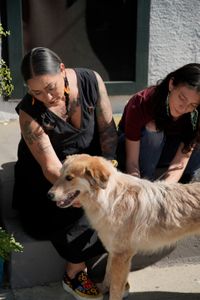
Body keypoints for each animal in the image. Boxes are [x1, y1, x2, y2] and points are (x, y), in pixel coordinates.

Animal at [48, 155, 200, 300]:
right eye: (59, 175)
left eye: (69, 178)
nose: (49, 195)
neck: (110, 198)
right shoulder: (113, 251)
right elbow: (107, 275)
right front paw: (102, 289)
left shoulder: (121, 256)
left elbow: (115, 289)